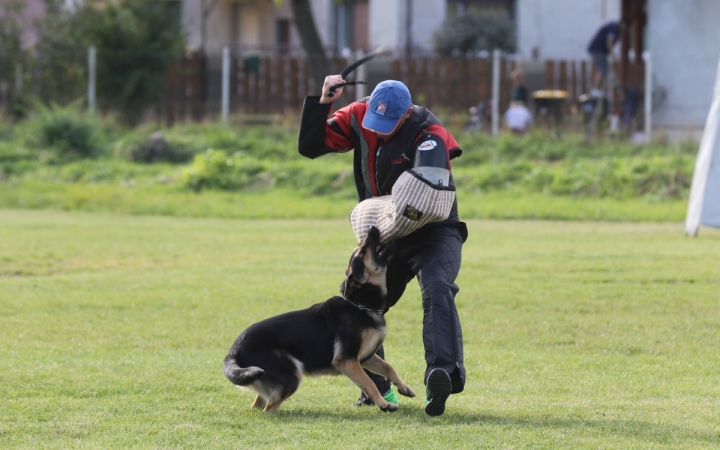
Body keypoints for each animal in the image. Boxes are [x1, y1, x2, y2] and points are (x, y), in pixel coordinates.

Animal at [225, 227, 416, 414]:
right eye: (361, 252)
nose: (372, 228)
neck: (360, 305)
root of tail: (233, 352)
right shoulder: (347, 360)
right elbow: (369, 383)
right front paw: (384, 404)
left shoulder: (365, 358)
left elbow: (388, 367)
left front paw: (404, 388)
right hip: (292, 375)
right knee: (269, 408)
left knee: (259, 405)